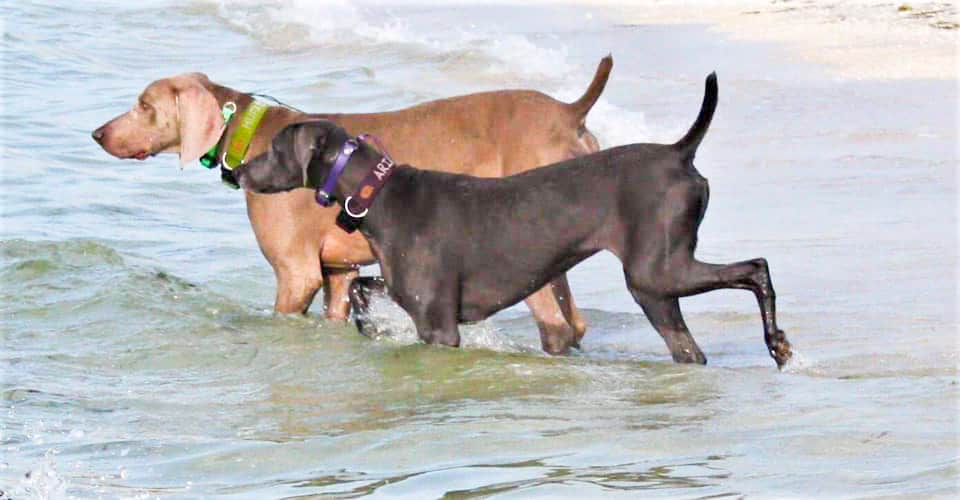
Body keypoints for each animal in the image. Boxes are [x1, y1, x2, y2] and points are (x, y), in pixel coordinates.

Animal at [94, 57, 612, 352]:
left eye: (144, 105)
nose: (97, 133)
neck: (251, 132)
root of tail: (570, 112)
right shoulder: (338, 273)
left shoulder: (295, 273)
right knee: (575, 323)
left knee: (558, 327)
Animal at [234, 75, 796, 372]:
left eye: (276, 148)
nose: (239, 171)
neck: (381, 193)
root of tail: (680, 152)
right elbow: (358, 289)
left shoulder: (439, 327)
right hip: (659, 288)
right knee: (691, 347)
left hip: (655, 273)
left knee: (757, 268)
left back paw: (778, 343)